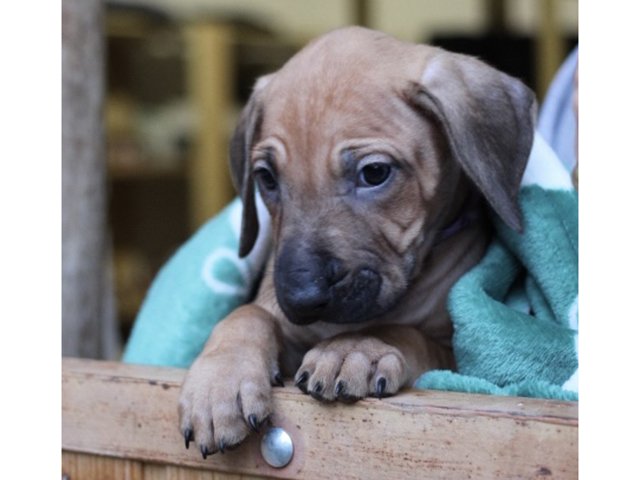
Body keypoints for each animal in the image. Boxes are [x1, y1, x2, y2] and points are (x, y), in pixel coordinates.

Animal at [176, 27, 536, 458]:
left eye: (375, 173)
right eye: (266, 178)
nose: (300, 297)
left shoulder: (456, 357)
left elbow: (403, 331)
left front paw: (355, 347)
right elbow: (247, 315)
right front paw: (218, 380)